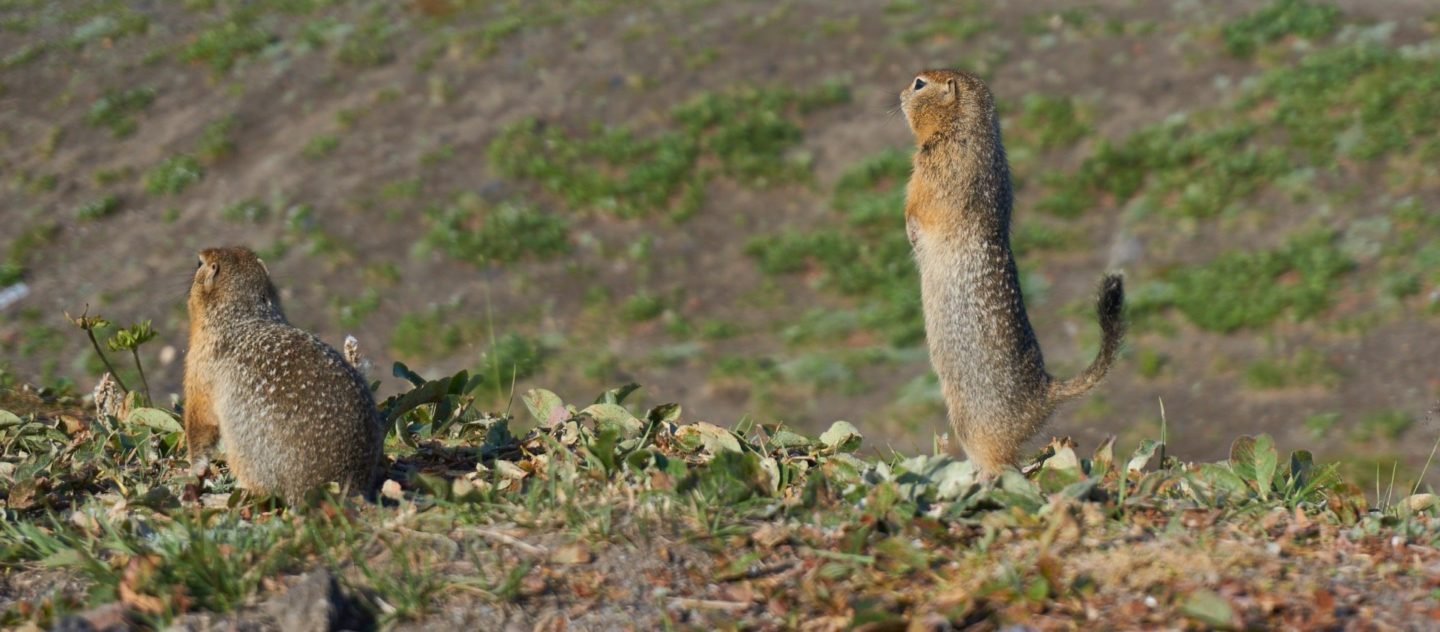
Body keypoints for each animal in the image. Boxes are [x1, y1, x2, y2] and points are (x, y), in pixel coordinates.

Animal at [184, 247, 383, 503]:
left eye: (199, 262)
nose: (199, 255)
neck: (240, 316)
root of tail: (347, 488)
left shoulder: (199, 369)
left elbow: (199, 420)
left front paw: (195, 469)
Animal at [898, 68, 1123, 475]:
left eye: (920, 84)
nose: (899, 94)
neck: (967, 127)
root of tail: (1045, 393)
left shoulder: (938, 169)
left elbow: (919, 204)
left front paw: (911, 232)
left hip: (975, 425)